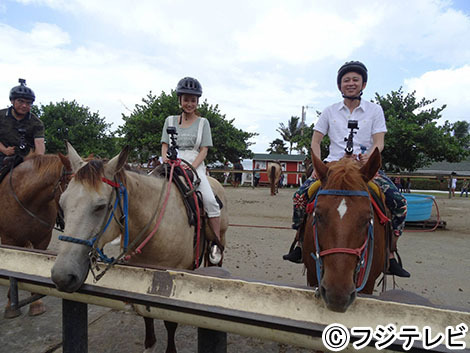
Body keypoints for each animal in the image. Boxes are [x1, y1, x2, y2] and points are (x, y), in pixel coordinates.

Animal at [50, 143, 229, 352]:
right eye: (62, 203)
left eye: (100, 206)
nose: (62, 276)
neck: (155, 226)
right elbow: (146, 315)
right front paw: (150, 344)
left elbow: (170, 323)